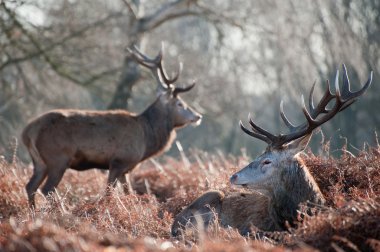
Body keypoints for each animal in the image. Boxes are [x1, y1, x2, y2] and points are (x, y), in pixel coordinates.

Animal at [23, 45, 202, 207]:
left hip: (40, 162)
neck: (146, 137)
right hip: (57, 158)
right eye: (180, 103)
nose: (198, 116)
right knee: (47, 189)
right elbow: (109, 192)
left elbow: (128, 192)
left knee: (30, 186)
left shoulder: (126, 168)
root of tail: (28, 132)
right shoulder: (119, 160)